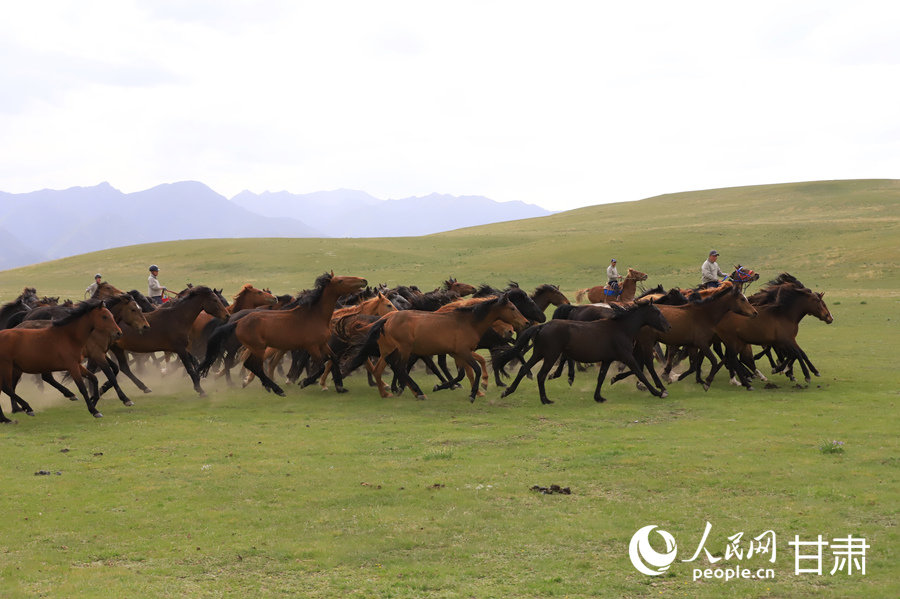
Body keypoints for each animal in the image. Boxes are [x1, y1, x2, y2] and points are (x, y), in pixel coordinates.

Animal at [197, 273, 368, 397]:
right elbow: (320, 367)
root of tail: (238, 322)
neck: (315, 315)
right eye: (340, 281)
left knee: (250, 365)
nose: (363, 280)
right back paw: (277, 389)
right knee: (253, 365)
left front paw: (340, 387)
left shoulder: (323, 344)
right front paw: (304, 382)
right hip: (258, 348)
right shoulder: (312, 346)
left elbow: (334, 359)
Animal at [341, 294, 528, 402]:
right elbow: (475, 369)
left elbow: (463, 373)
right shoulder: (463, 352)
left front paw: (443, 386)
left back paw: (386, 393)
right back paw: (417, 392)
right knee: (400, 368)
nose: (524, 323)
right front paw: (474, 393)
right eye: (512, 308)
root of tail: (387, 318)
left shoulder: (458, 353)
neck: (468, 322)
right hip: (404, 349)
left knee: (379, 370)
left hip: (389, 350)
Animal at [492, 301, 671, 405]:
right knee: (541, 375)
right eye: (657, 312)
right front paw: (659, 392)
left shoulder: (607, 360)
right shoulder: (626, 356)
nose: (669, 327)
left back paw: (507, 391)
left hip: (539, 353)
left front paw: (598, 397)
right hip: (550, 355)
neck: (621, 328)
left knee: (524, 369)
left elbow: (601, 378)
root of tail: (542, 326)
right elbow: (641, 373)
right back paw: (545, 400)